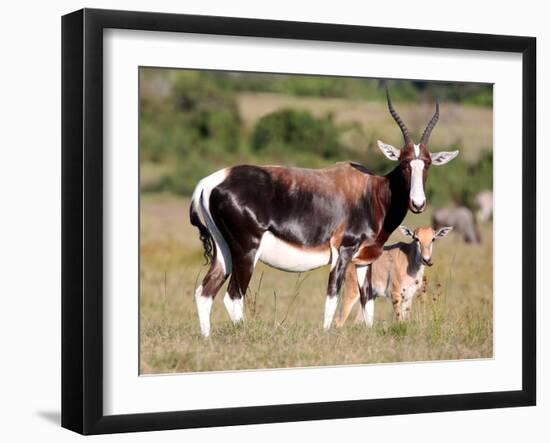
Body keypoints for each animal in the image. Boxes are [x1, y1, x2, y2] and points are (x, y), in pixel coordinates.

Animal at [190, 93, 462, 336]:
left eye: (427, 163)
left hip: (224, 252)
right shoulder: (343, 252)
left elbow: (367, 302)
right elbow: (332, 296)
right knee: (233, 296)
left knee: (205, 292)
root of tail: (211, 181)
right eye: (404, 163)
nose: (418, 203)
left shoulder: (364, 260)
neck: (370, 191)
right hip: (247, 252)